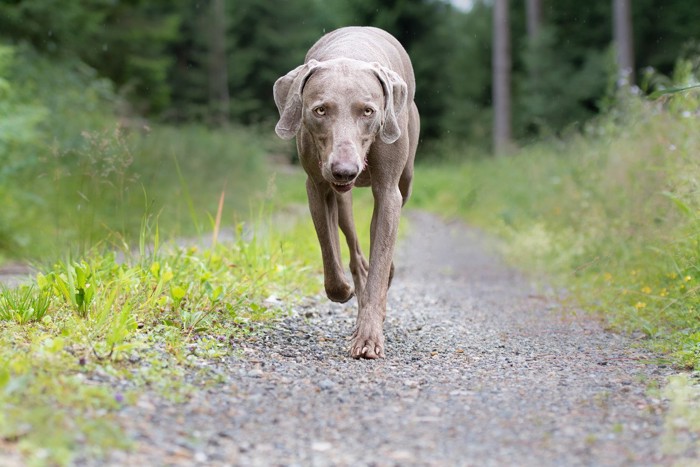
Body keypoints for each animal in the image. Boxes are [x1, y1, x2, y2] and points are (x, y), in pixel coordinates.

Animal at [274, 25, 418, 360]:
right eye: (320, 110)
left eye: (368, 111)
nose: (345, 170)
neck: (350, 53)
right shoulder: (316, 186)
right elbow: (330, 251)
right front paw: (346, 290)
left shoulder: (388, 192)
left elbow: (380, 260)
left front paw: (368, 337)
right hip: (342, 199)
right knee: (352, 247)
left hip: (405, 177)